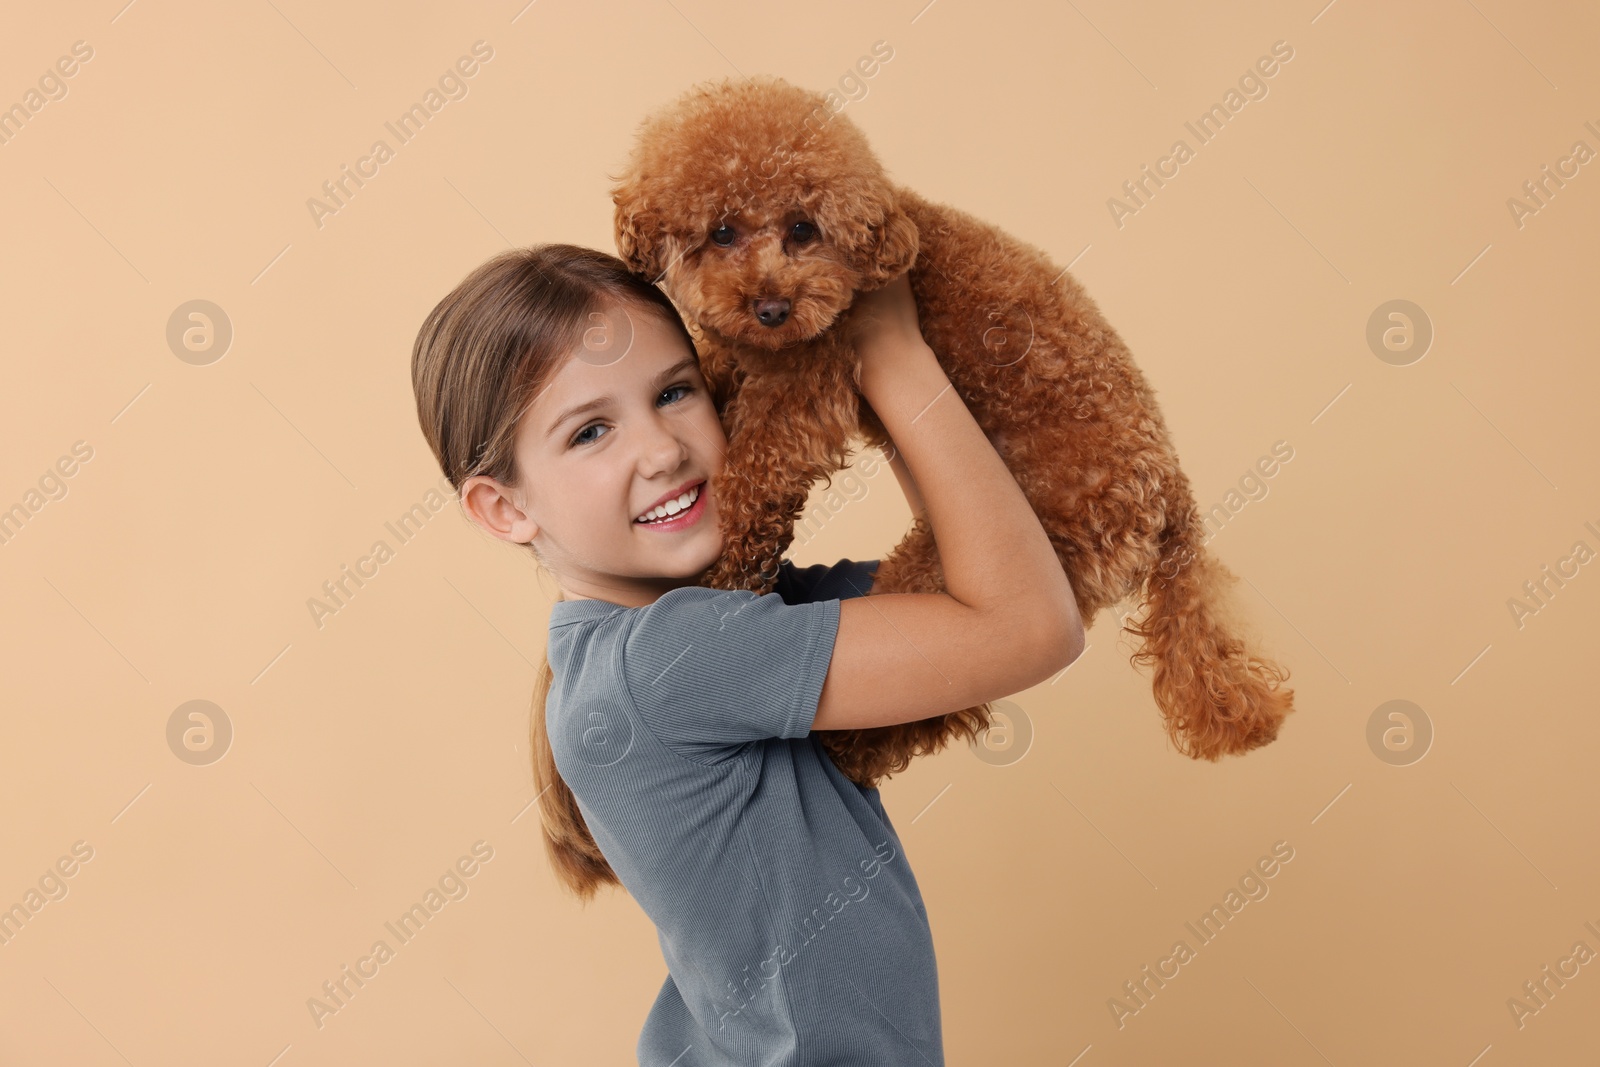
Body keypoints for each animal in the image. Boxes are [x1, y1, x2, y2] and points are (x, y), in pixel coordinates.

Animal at [604, 75, 1292, 790]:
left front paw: (721, 578)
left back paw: (845, 746)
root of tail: (1172, 493)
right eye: (721, 232)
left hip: (1000, 559)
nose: (772, 308)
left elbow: (753, 472)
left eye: (802, 229)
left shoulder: (808, 383)